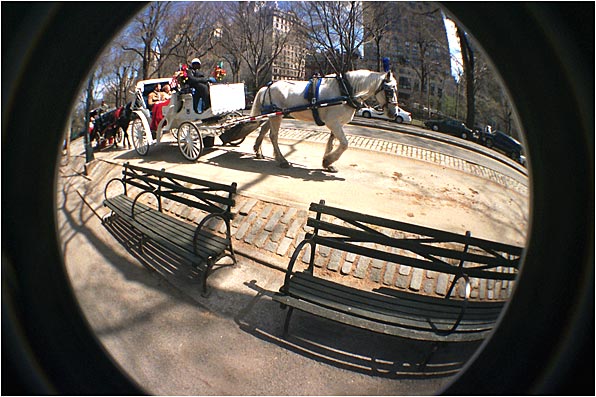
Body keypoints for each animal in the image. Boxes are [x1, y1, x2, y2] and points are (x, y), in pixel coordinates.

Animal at [249, 69, 398, 172]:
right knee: (273, 136)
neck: (346, 90)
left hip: (276, 114)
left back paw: (258, 150)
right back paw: (281, 160)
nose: (394, 113)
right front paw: (328, 161)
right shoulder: (333, 123)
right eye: (389, 91)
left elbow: (332, 142)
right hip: (276, 115)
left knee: (264, 129)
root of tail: (266, 87)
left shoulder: (337, 123)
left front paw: (328, 163)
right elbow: (344, 144)